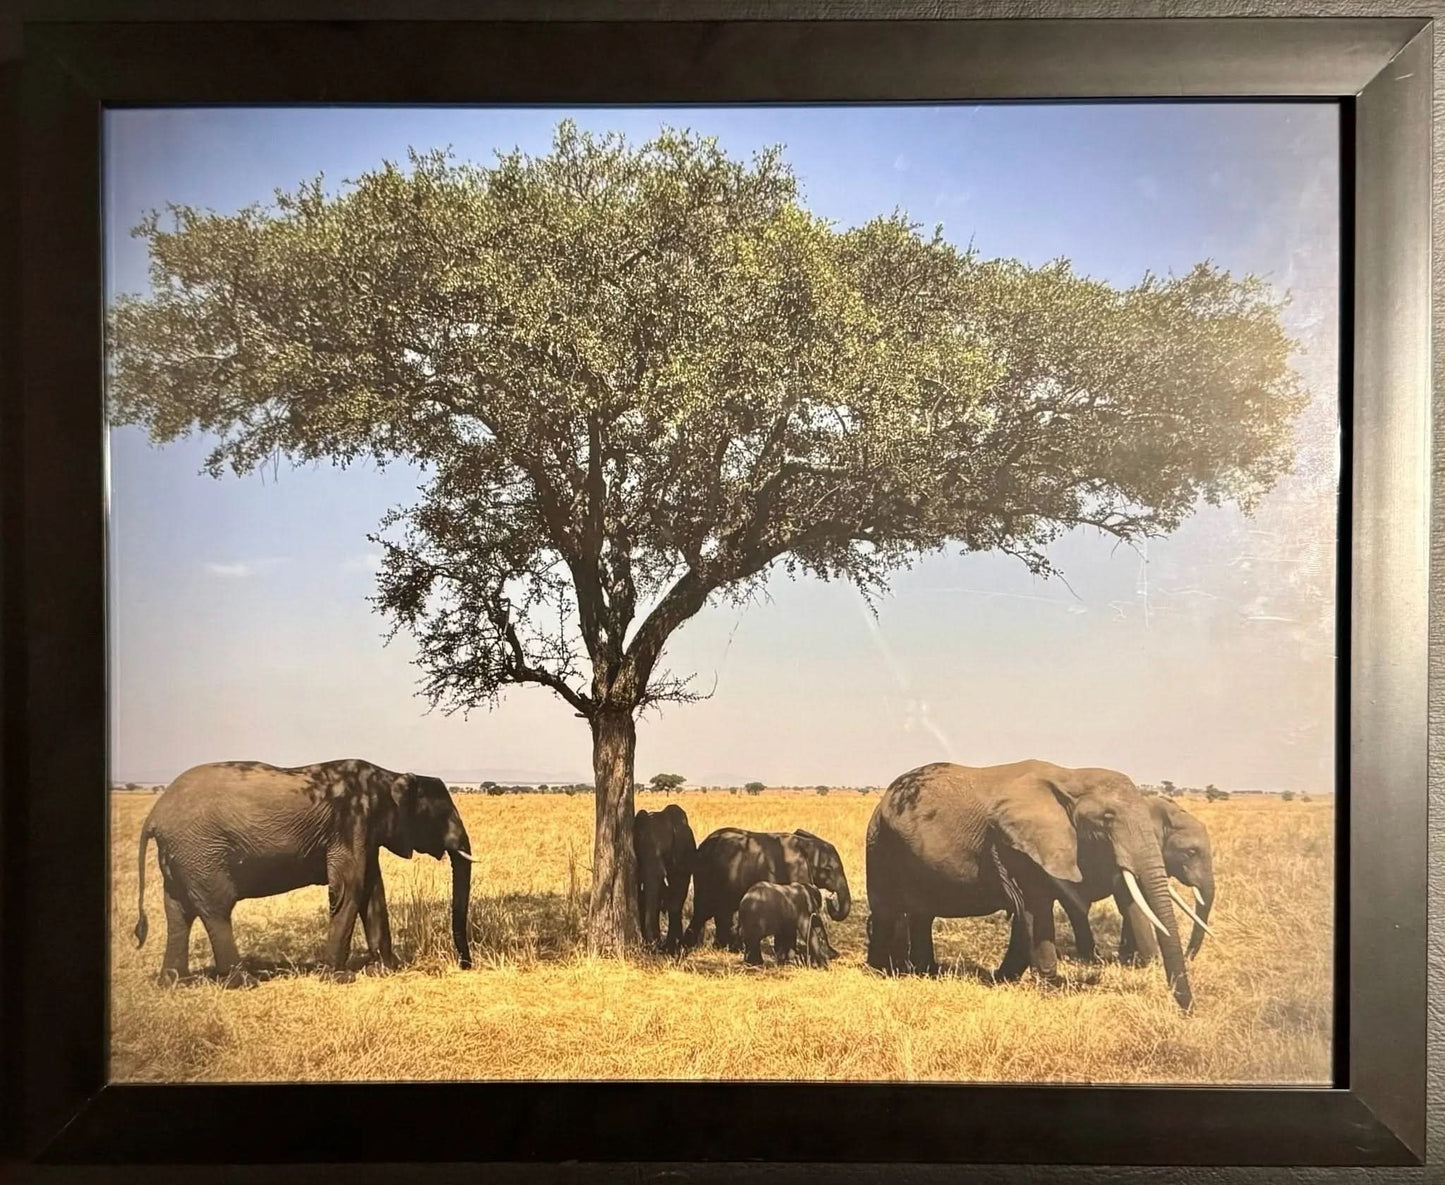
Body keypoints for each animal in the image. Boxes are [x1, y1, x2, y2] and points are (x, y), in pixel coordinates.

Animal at [134, 758, 476, 983]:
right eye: (442, 815)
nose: (465, 965)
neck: (388, 776)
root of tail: (154, 816)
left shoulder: (365, 831)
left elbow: (371, 891)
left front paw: (385, 969)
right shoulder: (350, 823)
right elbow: (348, 889)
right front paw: (338, 978)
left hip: (182, 855)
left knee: (178, 911)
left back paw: (174, 982)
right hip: (200, 850)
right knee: (216, 907)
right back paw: (243, 981)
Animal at [634, 803, 696, 953]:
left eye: (665, 852)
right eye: (639, 849)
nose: (655, 945)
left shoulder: (681, 853)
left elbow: (677, 891)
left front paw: (670, 948)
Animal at [680, 827, 851, 952]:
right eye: (828, 870)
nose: (830, 898)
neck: (805, 844)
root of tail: (702, 846)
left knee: (720, 910)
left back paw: (726, 948)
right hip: (706, 873)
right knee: (704, 909)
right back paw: (690, 946)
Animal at [865, 760, 1194, 1011]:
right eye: (1107, 818)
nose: (1187, 1010)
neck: (1071, 777)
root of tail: (884, 798)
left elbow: (1030, 914)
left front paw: (1001, 980)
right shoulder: (1014, 847)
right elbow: (1034, 910)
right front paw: (1050, 988)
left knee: (922, 915)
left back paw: (925, 972)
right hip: (879, 843)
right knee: (886, 911)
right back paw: (882, 972)